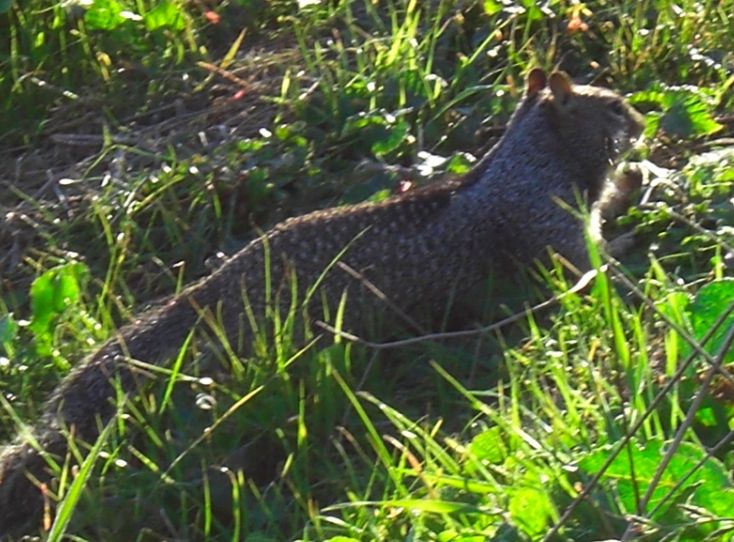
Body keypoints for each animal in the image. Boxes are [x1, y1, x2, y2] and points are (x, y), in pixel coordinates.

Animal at [0, 69, 644, 540]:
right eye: (613, 106)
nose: (640, 121)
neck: (526, 162)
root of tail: (211, 291)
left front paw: (633, 190)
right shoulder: (553, 232)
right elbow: (593, 269)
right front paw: (630, 255)